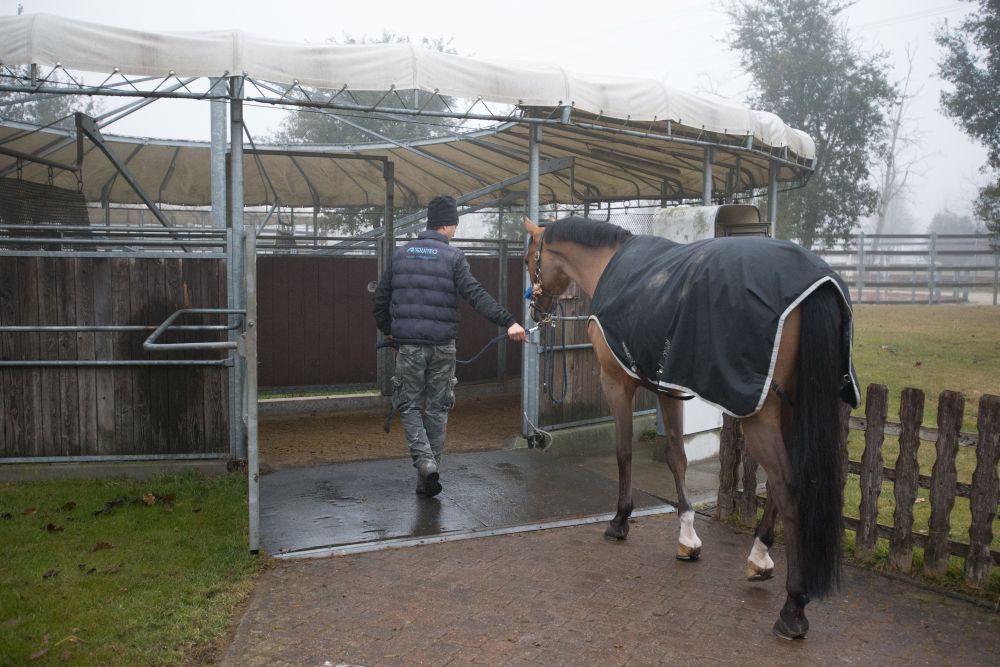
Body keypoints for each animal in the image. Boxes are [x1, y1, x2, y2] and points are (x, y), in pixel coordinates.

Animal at [522, 215, 859, 639]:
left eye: (528, 258)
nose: (536, 310)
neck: (609, 263)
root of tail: (818, 284)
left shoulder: (617, 383)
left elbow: (624, 452)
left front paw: (620, 521)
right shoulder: (669, 385)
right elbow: (677, 456)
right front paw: (687, 537)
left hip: (761, 414)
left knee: (786, 485)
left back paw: (793, 607)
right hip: (789, 408)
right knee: (779, 484)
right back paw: (759, 559)